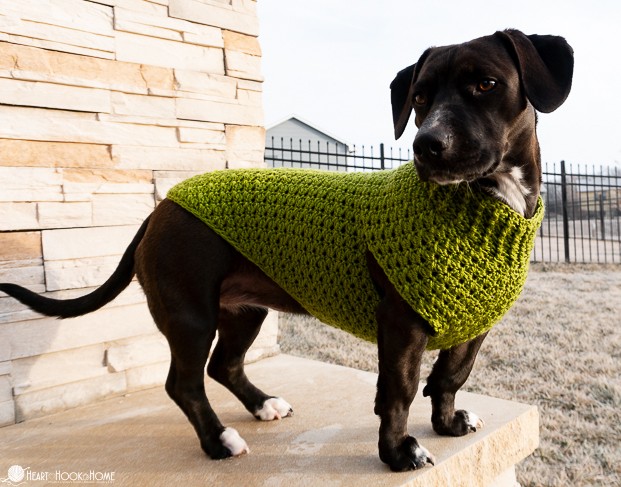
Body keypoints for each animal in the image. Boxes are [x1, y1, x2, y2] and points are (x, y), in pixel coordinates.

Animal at [0, 30, 572, 472]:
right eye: (420, 98)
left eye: (486, 84)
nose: (427, 145)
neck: (481, 205)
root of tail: (162, 207)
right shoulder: (401, 324)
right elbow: (399, 392)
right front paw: (397, 452)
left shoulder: (474, 324)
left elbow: (451, 375)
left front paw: (448, 422)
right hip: (189, 314)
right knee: (184, 383)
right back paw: (219, 441)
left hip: (244, 310)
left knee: (223, 367)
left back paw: (262, 405)